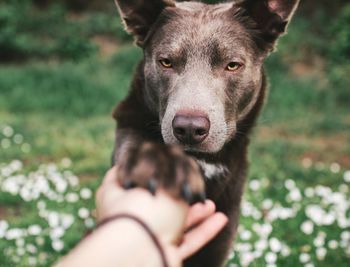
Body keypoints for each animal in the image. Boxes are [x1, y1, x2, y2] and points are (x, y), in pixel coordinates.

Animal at [111, 1, 298, 266]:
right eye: (166, 62)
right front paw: (157, 163)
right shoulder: (128, 119)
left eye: (232, 65)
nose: (189, 129)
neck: (201, 160)